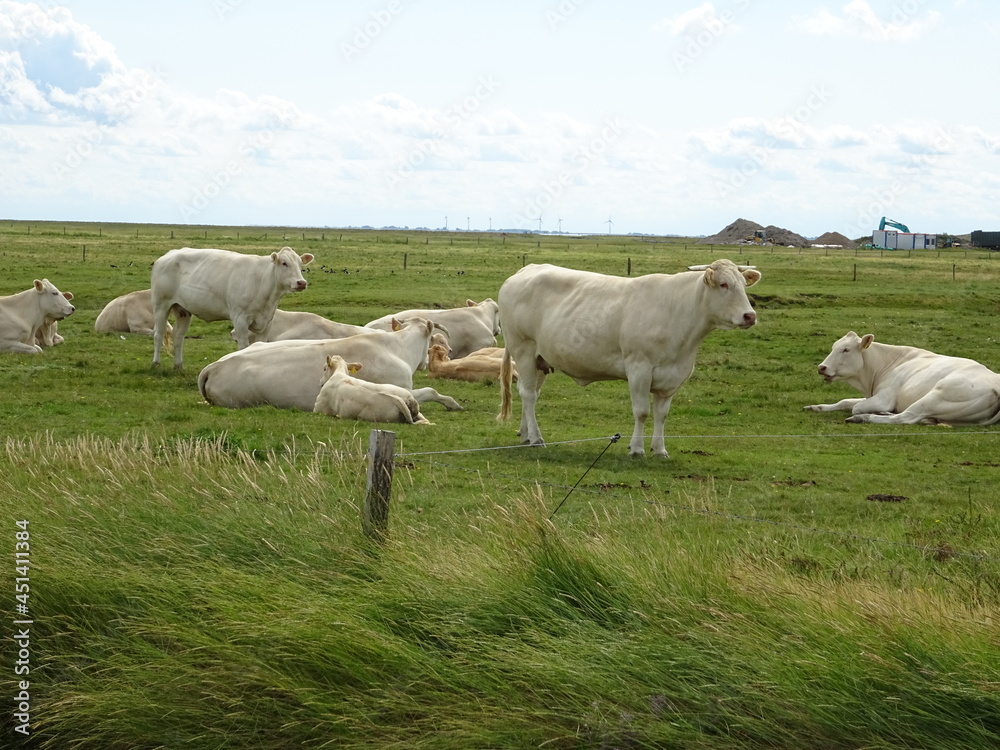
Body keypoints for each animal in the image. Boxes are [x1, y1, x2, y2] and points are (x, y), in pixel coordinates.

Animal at [151, 246, 314, 368]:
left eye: (300, 265)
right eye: (284, 263)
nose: (301, 282)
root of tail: (168, 255)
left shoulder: (267, 322)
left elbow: (261, 345)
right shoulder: (240, 319)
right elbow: (244, 347)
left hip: (183, 310)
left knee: (178, 336)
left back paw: (178, 366)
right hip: (161, 305)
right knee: (158, 334)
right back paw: (156, 363)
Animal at [198, 318, 463, 412]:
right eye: (432, 340)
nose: (425, 362)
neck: (396, 346)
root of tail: (213, 367)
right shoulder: (401, 388)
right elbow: (430, 391)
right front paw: (453, 403)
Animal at [497, 259, 761, 457]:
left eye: (743, 285)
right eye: (724, 284)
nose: (750, 316)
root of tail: (525, 270)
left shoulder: (673, 376)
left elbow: (662, 414)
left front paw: (660, 449)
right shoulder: (639, 368)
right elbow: (642, 411)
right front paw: (636, 449)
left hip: (540, 359)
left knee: (529, 394)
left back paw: (525, 434)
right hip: (523, 348)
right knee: (529, 394)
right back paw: (536, 438)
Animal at [803, 331, 1000, 425]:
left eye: (846, 350)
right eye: (834, 347)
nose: (821, 367)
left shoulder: (884, 398)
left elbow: (855, 407)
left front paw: (863, 413)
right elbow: (844, 401)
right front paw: (817, 407)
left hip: (936, 395)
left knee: (906, 417)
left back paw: (865, 418)